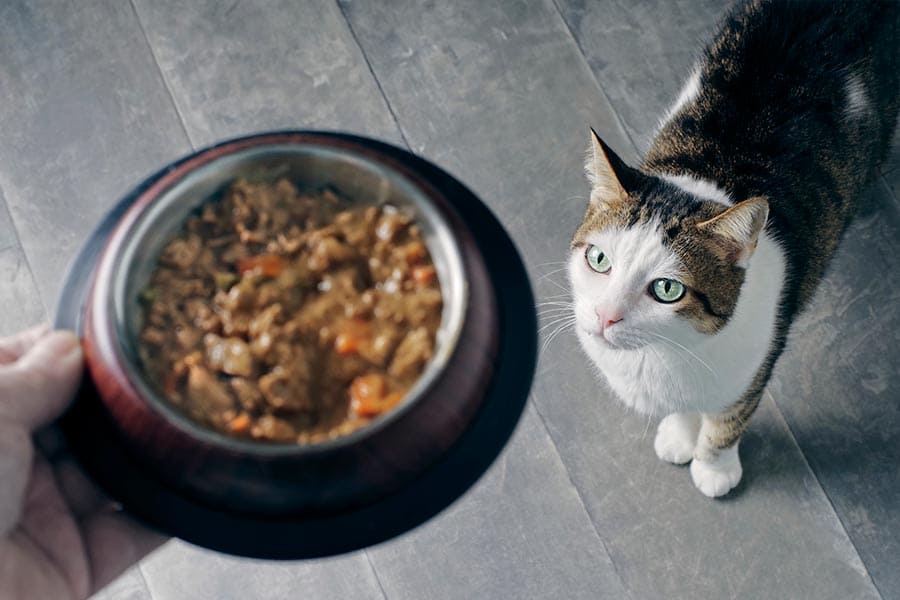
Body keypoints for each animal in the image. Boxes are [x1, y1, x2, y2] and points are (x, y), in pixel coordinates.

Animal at [568, 0, 900, 496]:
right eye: (599, 259)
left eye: (667, 289)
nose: (605, 316)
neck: (665, 351)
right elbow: (684, 409)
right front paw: (679, 435)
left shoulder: (758, 360)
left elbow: (729, 419)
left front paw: (714, 468)